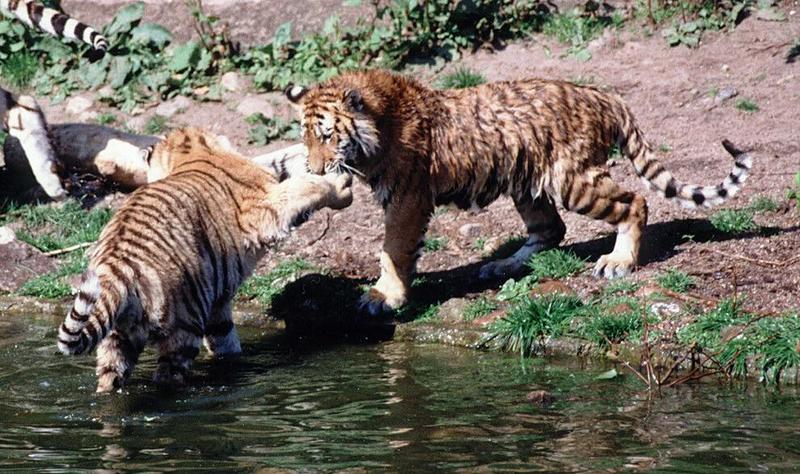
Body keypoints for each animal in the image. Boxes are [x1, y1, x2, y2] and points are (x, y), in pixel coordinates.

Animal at [56, 127, 354, 392]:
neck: (193, 153)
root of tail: (115, 267)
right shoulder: (264, 209)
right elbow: (303, 187)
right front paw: (341, 189)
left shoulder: (218, 302)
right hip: (184, 324)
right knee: (167, 377)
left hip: (117, 339)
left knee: (109, 377)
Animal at [280, 69, 752, 314]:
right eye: (304, 137)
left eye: (327, 136)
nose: (314, 168)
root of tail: (606, 96)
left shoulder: (407, 199)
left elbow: (392, 251)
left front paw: (383, 297)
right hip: (528, 183)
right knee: (551, 230)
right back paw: (501, 265)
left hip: (572, 180)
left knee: (634, 202)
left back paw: (617, 263)